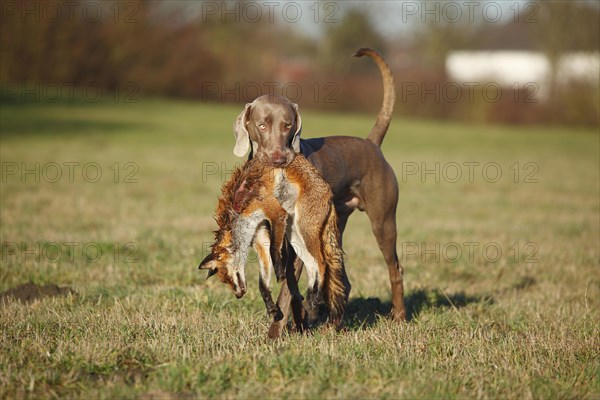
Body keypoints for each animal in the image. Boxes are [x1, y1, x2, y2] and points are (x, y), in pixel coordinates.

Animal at [198, 154, 344, 324]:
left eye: (227, 277)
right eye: (224, 281)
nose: (238, 296)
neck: (239, 208)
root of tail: (329, 192)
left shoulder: (276, 213)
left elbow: (275, 248)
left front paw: (279, 271)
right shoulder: (259, 235)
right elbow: (262, 283)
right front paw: (271, 307)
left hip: (304, 229)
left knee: (321, 263)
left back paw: (316, 297)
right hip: (294, 235)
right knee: (312, 265)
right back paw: (310, 297)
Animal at [232, 47, 406, 338]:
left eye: (288, 125)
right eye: (262, 125)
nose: (280, 159)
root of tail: (372, 144)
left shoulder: (298, 241)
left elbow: (287, 292)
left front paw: (275, 334)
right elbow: (290, 289)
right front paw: (298, 323)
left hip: (383, 221)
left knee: (394, 268)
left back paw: (400, 317)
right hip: (336, 226)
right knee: (343, 280)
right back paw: (331, 326)